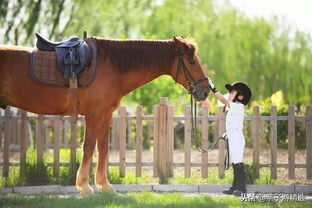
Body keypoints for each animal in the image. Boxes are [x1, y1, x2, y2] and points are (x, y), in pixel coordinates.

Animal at [0, 36, 211, 195]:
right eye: (192, 61)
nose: (206, 91)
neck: (110, 65)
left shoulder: (105, 114)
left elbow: (102, 147)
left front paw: (104, 185)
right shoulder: (94, 114)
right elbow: (88, 147)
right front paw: (85, 187)